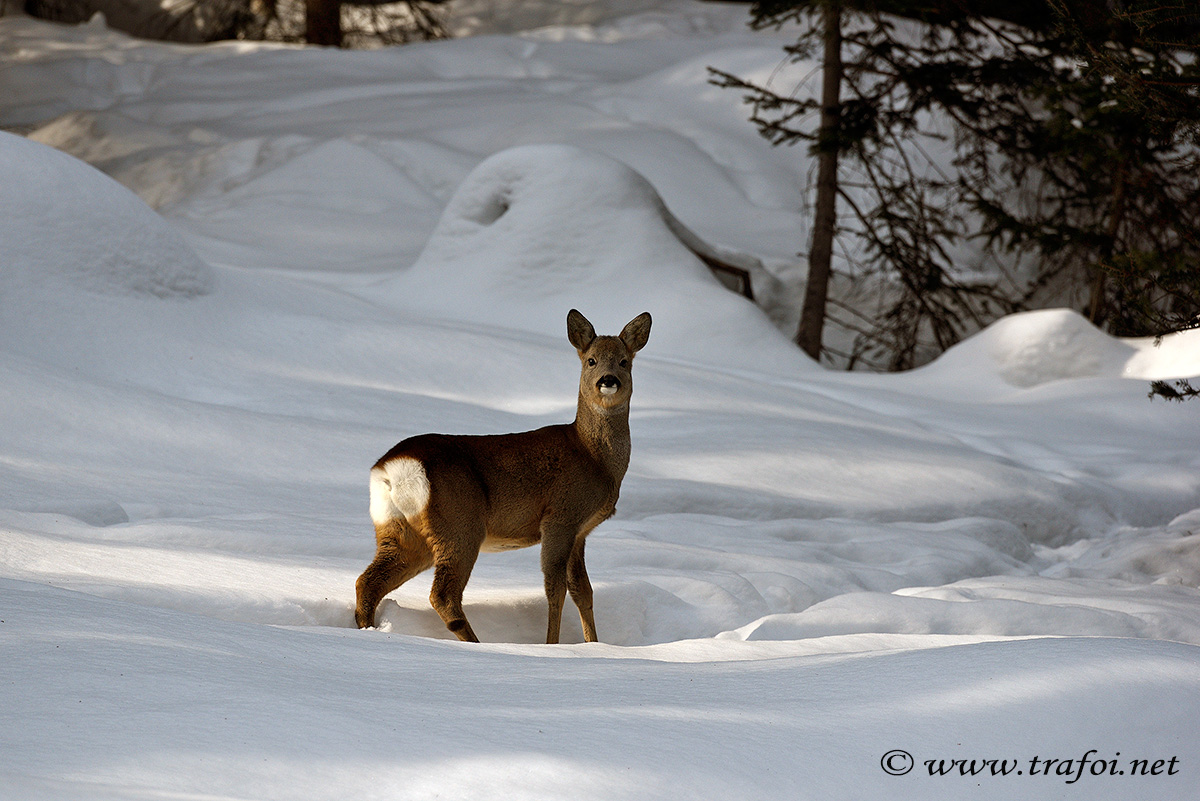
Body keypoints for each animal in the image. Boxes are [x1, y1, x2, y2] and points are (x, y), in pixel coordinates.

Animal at [355, 309, 657, 642]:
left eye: (624, 361)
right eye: (591, 360)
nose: (608, 380)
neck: (593, 456)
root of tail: (392, 467)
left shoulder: (581, 532)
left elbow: (583, 591)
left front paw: (594, 644)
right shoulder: (560, 517)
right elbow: (555, 589)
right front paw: (552, 644)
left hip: (398, 529)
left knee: (368, 582)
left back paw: (367, 629)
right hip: (459, 523)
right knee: (442, 594)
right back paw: (476, 643)